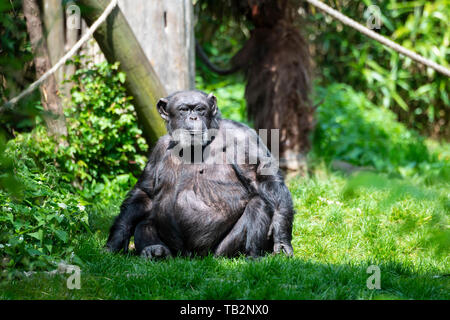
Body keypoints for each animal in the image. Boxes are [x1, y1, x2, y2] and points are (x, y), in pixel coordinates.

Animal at [105, 90, 296, 260]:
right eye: (183, 109)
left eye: (200, 109)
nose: (193, 118)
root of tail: (191, 256)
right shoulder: (159, 148)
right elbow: (145, 193)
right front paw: (116, 240)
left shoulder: (243, 137)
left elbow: (263, 177)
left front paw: (281, 236)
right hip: (175, 249)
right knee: (145, 221)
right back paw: (154, 251)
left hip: (220, 251)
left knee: (259, 203)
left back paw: (253, 256)